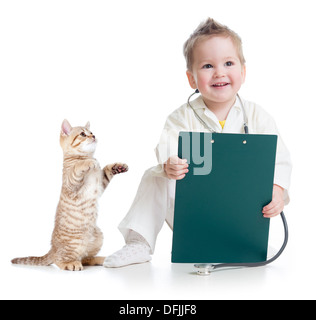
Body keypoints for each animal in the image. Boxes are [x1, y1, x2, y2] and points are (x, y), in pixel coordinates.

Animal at [12, 119, 128, 270]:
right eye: (83, 134)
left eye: (91, 132)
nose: (94, 136)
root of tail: (53, 248)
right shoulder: (71, 184)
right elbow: (77, 168)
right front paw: (89, 162)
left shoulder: (100, 184)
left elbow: (106, 171)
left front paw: (118, 166)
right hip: (74, 243)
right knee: (60, 260)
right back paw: (71, 263)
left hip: (98, 236)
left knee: (85, 258)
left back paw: (101, 259)